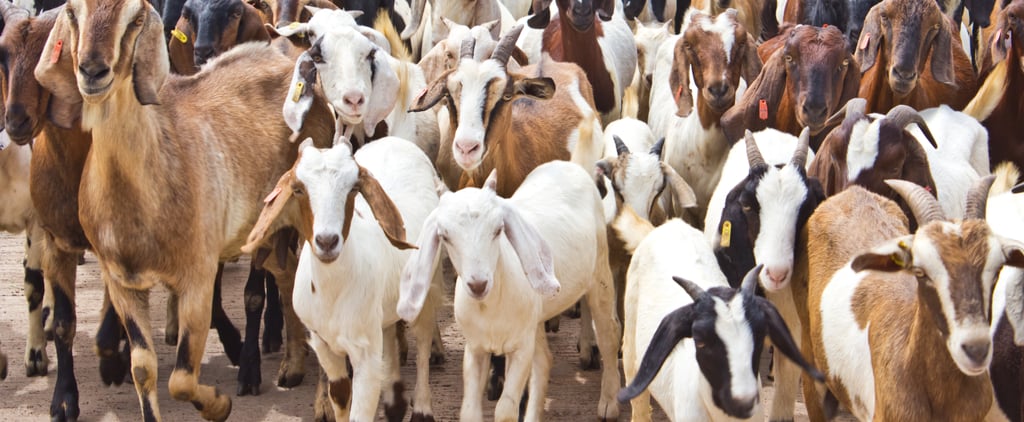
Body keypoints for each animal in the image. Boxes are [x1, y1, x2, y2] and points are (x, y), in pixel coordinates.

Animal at [34, 0, 335, 417]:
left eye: (136, 18)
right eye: (73, 13)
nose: (93, 70)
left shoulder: (198, 275)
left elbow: (181, 379)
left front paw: (219, 405)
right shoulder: (121, 280)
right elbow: (143, 368)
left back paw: (323, 400)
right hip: (267, 227)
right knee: (288, 274)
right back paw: (291, 367)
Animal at [242, 137, 440, 422]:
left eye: (353, 188)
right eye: (298, 189)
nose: (327, 241)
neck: (333, 292)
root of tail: (396, 139)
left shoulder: (365, 356)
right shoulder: (323, 344)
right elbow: (339, 394)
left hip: (426, 287)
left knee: (423, 341)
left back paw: (422, 409)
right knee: (390, 331)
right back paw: (395, 404)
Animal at [398, 161, 622, 421]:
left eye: (498, 230)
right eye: (444, 236)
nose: (478, 284)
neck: (491, 307)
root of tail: (566, 164)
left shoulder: (520, 348)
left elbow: (505, 409)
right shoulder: (475, 348)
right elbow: (469, 410)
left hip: (600, 272)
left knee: (608, 334)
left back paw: (609, 402)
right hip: (535, 318)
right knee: (544, 360)